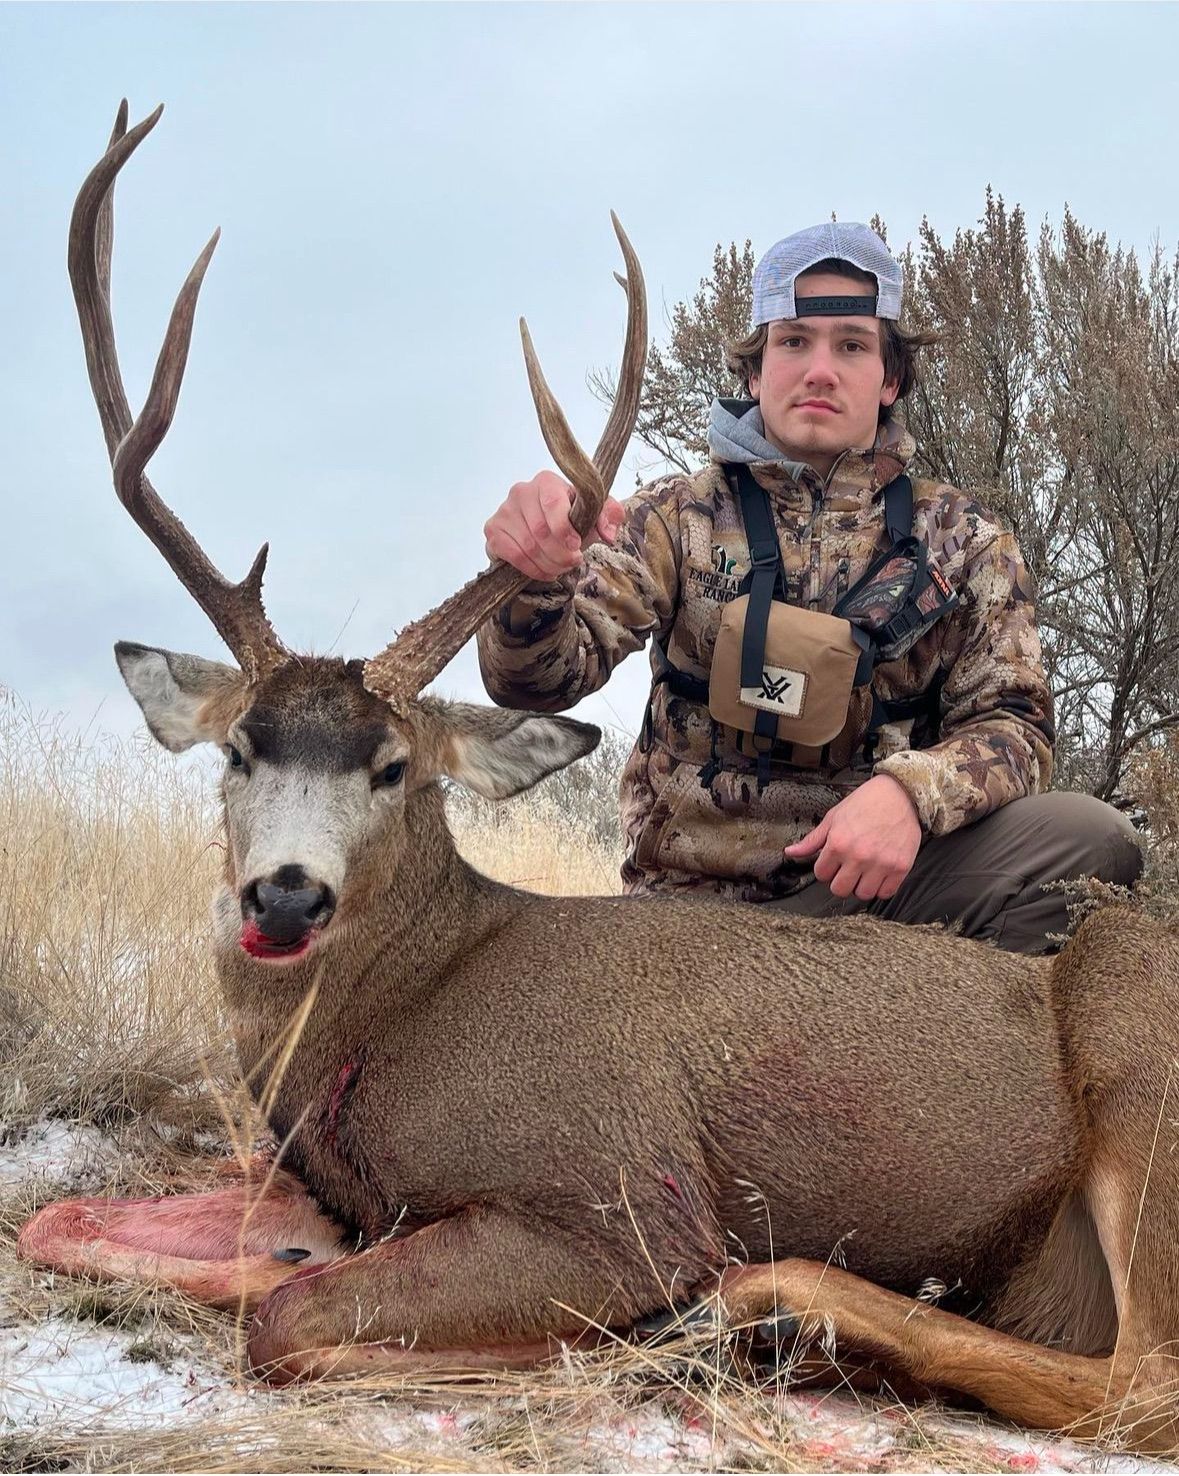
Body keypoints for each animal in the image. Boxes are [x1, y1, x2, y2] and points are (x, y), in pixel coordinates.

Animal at [17, 100, 1179, 1454]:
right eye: (240, 748)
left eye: (395, 766)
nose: (287, 896)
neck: (395, 1017)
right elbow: (89, 1229)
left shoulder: (615, 1187)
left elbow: (286, 1323)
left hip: (1131, 1025)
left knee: (1140, 1380)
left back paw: (771, 1308)